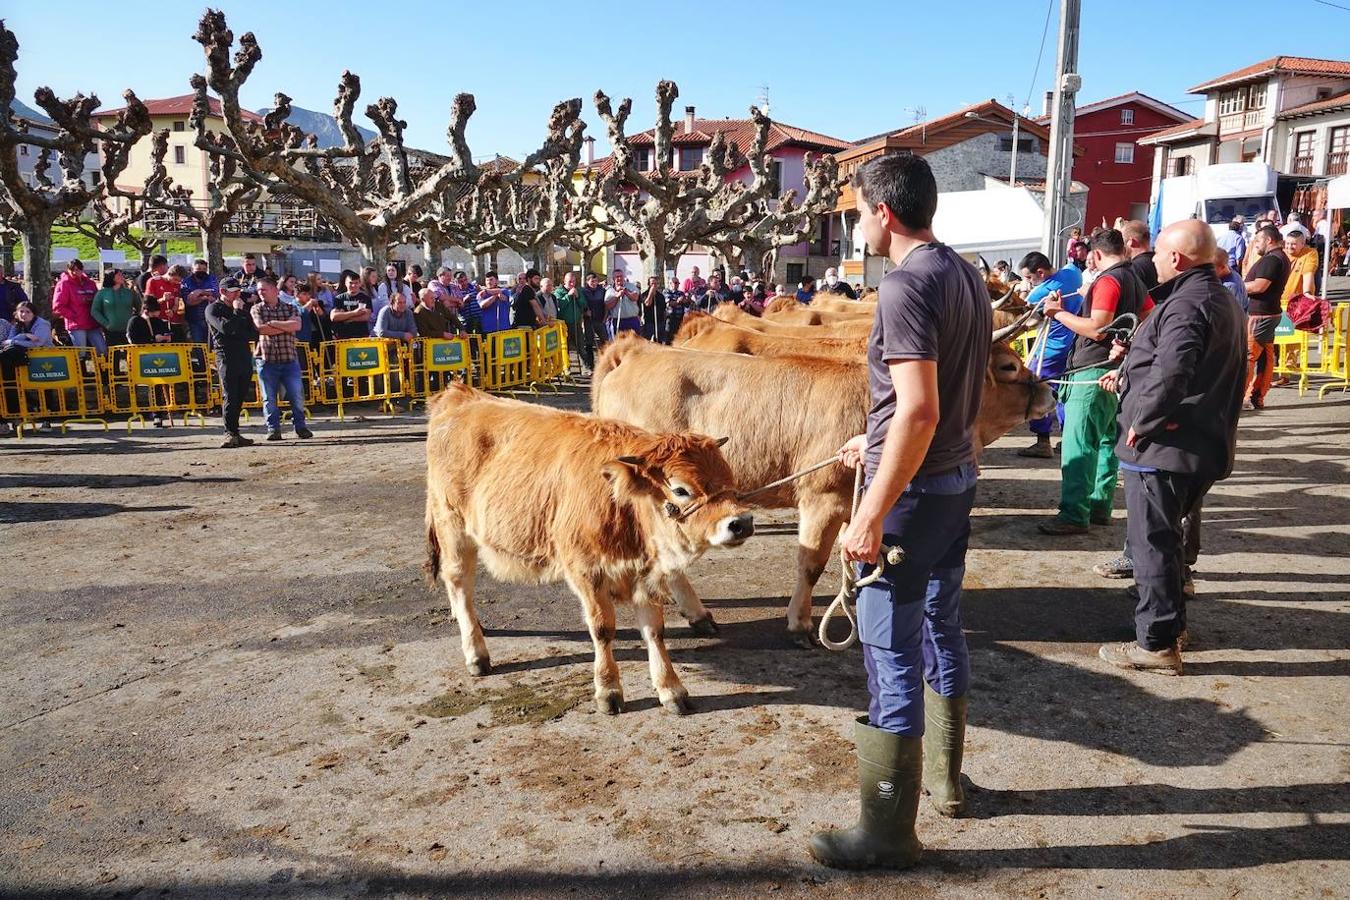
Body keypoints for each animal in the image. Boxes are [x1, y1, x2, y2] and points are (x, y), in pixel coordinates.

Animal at [423, 383, 756, 712]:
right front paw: (608, 690)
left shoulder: (645, 574)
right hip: (453, 528)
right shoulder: (587, 572)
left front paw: (671, 689)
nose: (742, 522)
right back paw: (476, 653)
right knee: (459, 582)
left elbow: (654, 630)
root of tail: (459, 395)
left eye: (728, 478)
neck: (620, 503)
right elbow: (602, 629)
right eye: (680, 490)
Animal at [594, 335, 1053, 639]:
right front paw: (799, 622)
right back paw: (698, 613)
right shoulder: (823, 498)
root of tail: (637, 349)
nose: (1049, 389)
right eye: (1008, 366)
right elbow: (811, 563)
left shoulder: (861, 505)